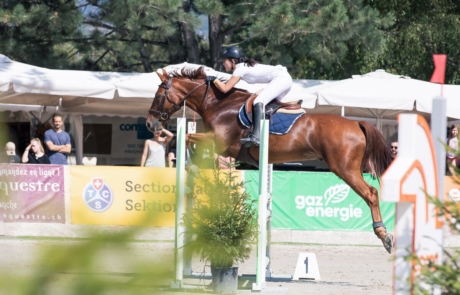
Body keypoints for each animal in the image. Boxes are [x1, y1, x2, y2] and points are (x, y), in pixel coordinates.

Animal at [147, 67, 396, 254]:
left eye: (158, 96)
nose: (151, 124)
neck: (218, 104)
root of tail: (356, 123)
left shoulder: (220, 142)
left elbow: (187, 138)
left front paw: (193, 165)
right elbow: (190, 140)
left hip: (345, 169)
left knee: (371, 193)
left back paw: (384, 235)